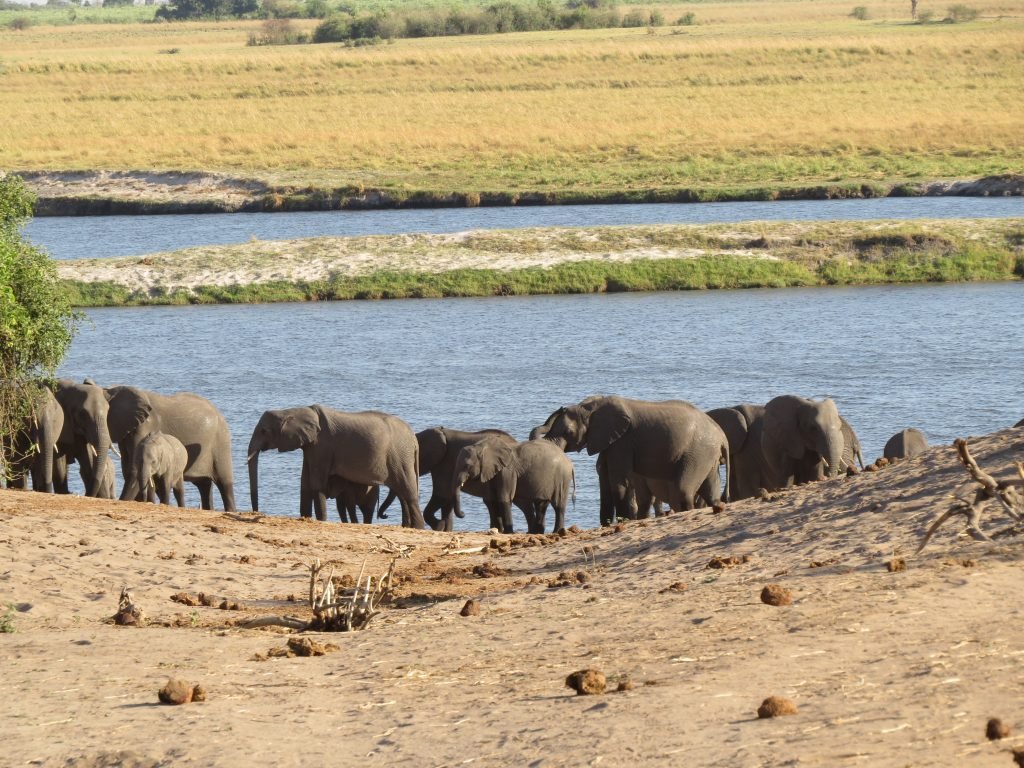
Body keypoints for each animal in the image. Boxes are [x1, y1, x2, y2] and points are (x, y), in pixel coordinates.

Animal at [106, 385, 237, 512]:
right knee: (204, 485)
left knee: (224, 483)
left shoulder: (145, 427)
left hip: (221, 442)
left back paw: (231, 510)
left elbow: (133, 469)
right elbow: (127, 467)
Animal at [247, 409, 423, 528]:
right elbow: (305, 484)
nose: (256, 512)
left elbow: (316, 484)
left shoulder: (322, 446)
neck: (294, 410)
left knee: (408, 492)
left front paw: (321, 520)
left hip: (399, 456)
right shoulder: (310, 447)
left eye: (263, 431)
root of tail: (413, 438)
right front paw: (305, 518)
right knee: (401, 493)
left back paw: (418, 528)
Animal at [544, 397, 729, 524]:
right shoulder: (609, 443)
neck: (591, 406)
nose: (561, 407)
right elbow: (605, 483)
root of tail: (722, 435)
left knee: (683, 489)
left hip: (699, 451)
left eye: (568, 432)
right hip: (706, 455)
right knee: (710, 489)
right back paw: (716, 507)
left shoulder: (623, 441)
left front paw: (623, 521)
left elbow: (618, 483)